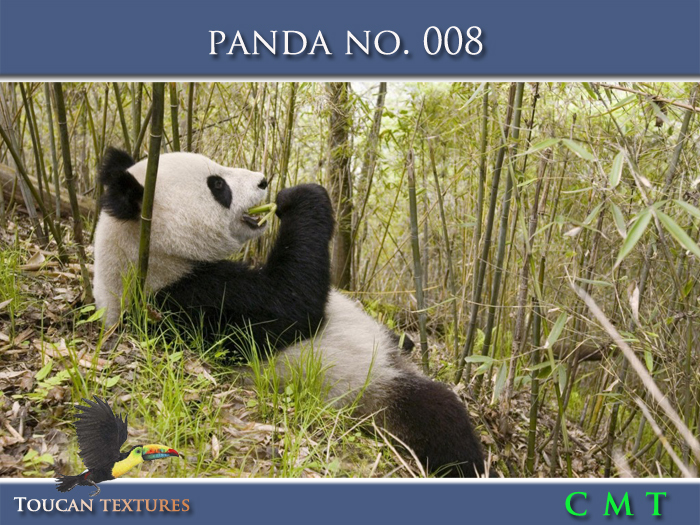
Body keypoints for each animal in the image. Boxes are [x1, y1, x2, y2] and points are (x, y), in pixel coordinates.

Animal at [93, 147, 486, 477]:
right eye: (217, 185)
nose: (264, 181)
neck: (147, 256)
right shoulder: (189, 302)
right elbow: (291, 305)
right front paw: (300, 197)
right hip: (370, 391)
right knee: (438, 419)